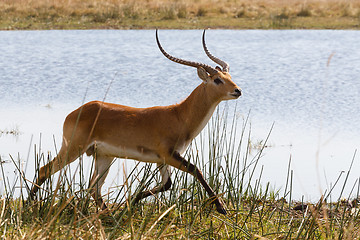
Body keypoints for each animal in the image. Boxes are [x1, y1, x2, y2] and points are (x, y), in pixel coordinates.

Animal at [28, 29, 242, 215]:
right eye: (217, 80)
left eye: (229, 76)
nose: (237, 90)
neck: (179, 115)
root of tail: (76, 112)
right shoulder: (170, 155)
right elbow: (196, 170)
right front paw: (221, 208)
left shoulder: (162, 159)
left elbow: (167, 184)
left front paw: (131, 201)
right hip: (73, 149)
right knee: (45, 170)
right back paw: (29, 206)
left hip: (103, 156)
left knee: (94, 188)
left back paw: (110, 215)